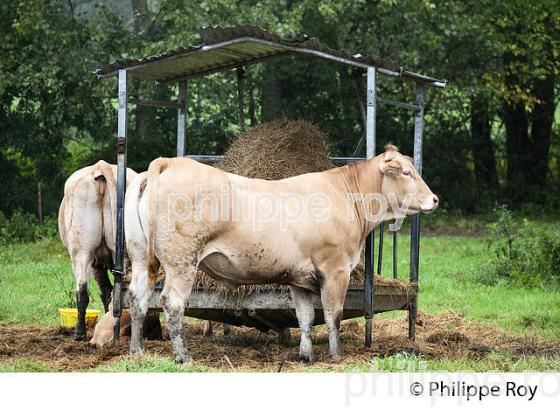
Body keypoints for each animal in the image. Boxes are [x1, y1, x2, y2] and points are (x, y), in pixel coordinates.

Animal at [57, 160, 138, 340]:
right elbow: (107, 292)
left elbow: (104, 292)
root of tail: (101, 166)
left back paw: (79, 333)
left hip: (81, 252)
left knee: (83, 290)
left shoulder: (96, 264)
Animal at [126, 146, 438, 364]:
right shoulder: (336, 268)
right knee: (172, 302)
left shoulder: (299, 279)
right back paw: (182, 356)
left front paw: (306, 355)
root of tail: (171, 162)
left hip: (140, 257)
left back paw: (137, 350)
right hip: (182, 262)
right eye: (407, 173)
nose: (435, 199)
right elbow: (333, 314)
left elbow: (306, 317)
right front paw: (336, 354)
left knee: (138, 297)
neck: (346, 195)